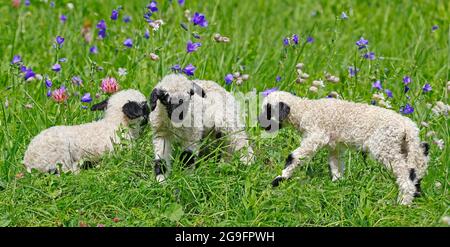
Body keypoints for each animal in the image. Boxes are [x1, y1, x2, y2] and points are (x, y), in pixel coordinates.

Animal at [256, 90, 428, 205]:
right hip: (405, 146)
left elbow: (294, 157)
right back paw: (415, 192)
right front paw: (337, 183)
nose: (259, 123)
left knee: (404, 172)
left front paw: (279, 179)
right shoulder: (334, 145)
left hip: (385, 145)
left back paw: (403, 201)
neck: (304, 110)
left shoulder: (316, 135)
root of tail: (407, 125)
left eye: (268, 111)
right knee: (417, 165)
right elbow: (335, 164)